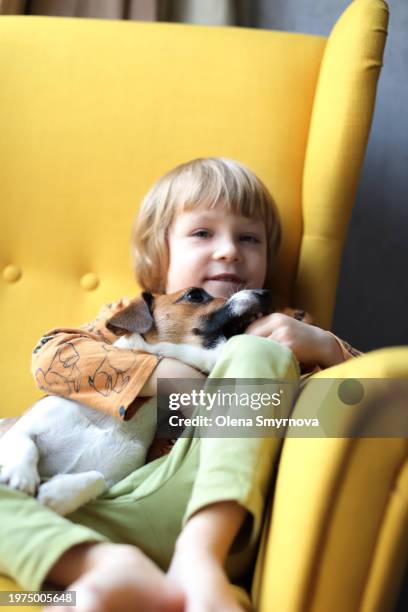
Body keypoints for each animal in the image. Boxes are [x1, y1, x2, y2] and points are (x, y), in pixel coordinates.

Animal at [0, 288, 274, 516]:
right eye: (195, 295)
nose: (265, 292)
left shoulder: (114, 478)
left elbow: (96, 478)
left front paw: (58, 494)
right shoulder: (22, 430)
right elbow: (25, 443)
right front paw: (19, 475)